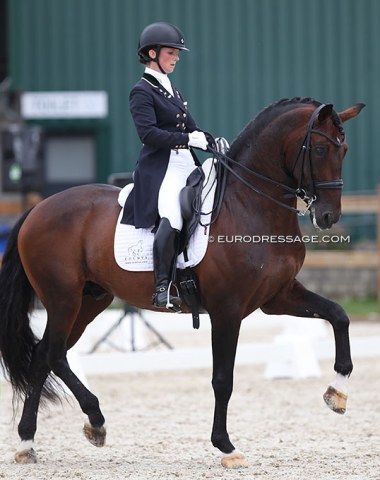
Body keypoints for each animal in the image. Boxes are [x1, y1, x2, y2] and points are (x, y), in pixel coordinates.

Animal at [0, 97, 366, 468]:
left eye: (345, 149)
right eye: (319, 149)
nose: (328, 217)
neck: (250, 205)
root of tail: (37, 209)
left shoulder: (278, 297)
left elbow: (338, 315)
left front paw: (337, 393)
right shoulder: (227, 310)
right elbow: (223, 379)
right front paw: (226, 447)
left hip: (90, 300)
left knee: (45, 356)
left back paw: (32, 441)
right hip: (63, 298)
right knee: (53, 354)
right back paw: (90, 422)